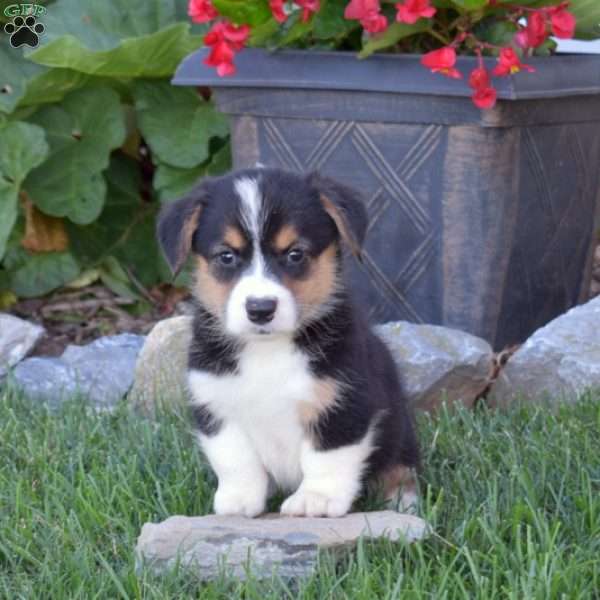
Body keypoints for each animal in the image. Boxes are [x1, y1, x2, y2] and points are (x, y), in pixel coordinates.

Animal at [157, 166, 420, 516]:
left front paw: (316, 500)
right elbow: (236, 460)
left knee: (401, 468)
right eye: (226, 256)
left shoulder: (342, 404)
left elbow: (326, 458)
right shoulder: (217, 407)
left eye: (295, 254)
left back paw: (402, 500)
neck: (268, 349)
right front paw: (239, 501)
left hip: (400, 432)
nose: (260, 308)